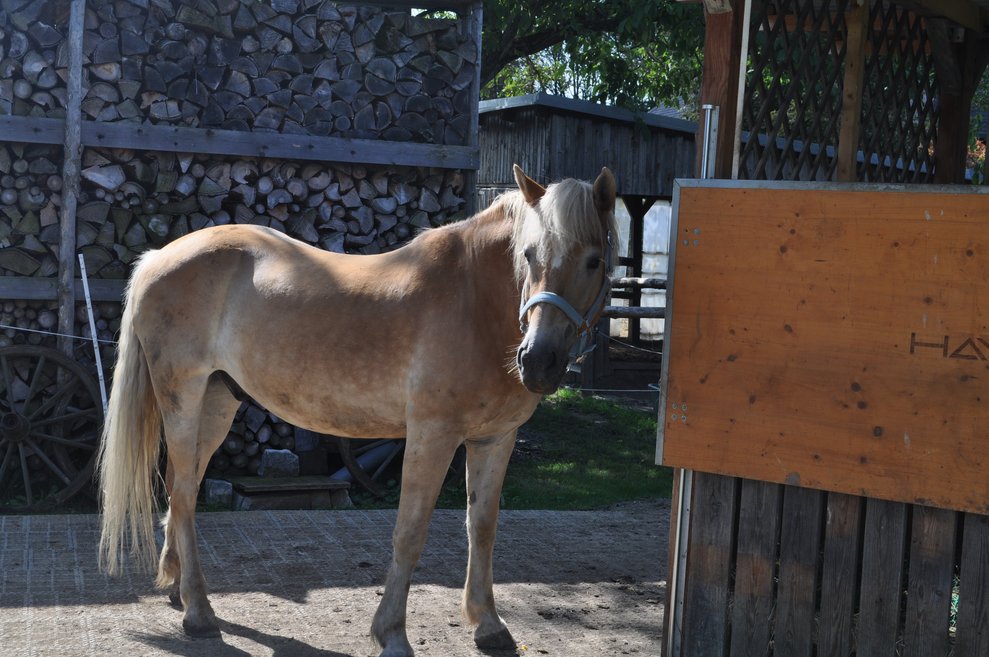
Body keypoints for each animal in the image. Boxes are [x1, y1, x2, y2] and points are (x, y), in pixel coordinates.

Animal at [97, 164, 617, 657]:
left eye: (593, 260)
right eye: (528, 255)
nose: (538, 361)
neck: (476, 302)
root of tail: (158, 257)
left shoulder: (494, 440)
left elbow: (483, 528)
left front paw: (488, 625)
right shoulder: (432, 436)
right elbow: (410, 532)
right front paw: (392, 635)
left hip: (216, 402)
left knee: (180, 489)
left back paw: (178, 588)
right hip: (183, 398)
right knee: (184, 493)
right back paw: (199, 614)